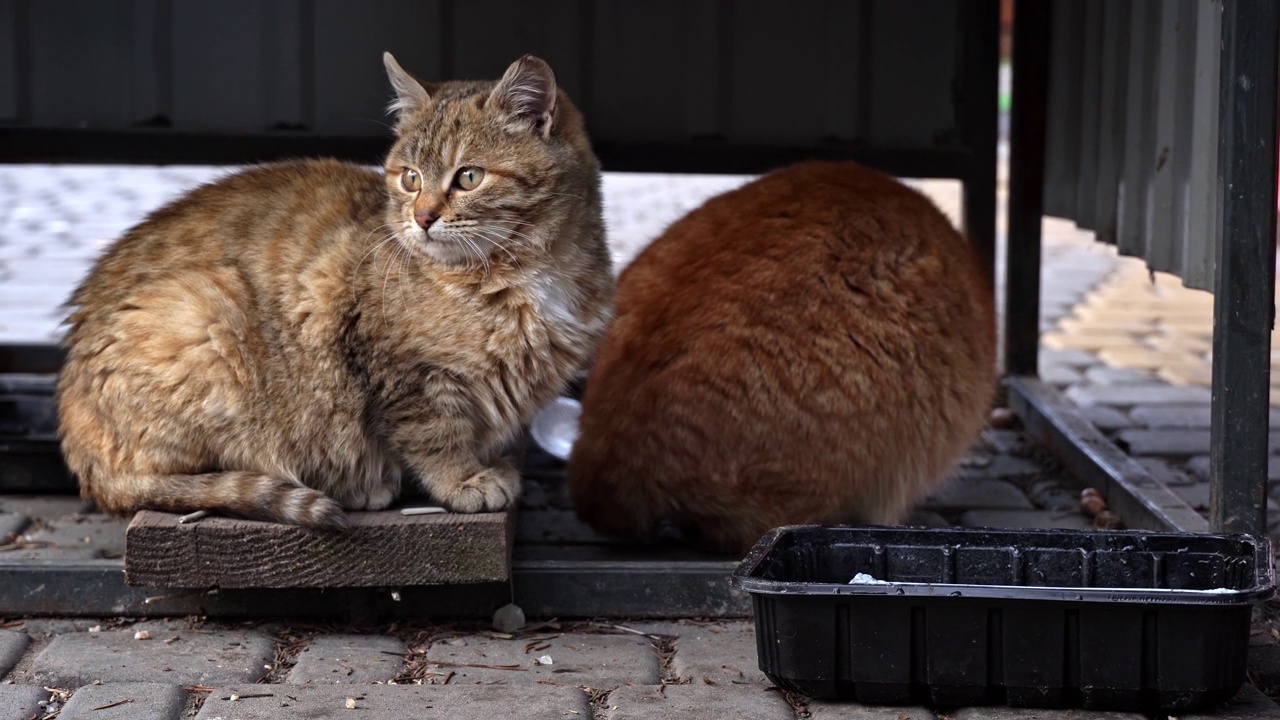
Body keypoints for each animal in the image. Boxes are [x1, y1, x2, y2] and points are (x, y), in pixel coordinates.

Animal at [58, 53, 614, 525]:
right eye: (410, 178)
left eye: (469, 177)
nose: (422, 217)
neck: (524, 271)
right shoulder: (402, 369)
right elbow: (434, 434)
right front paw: (462, 480)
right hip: (201, 316)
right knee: (171, 479)